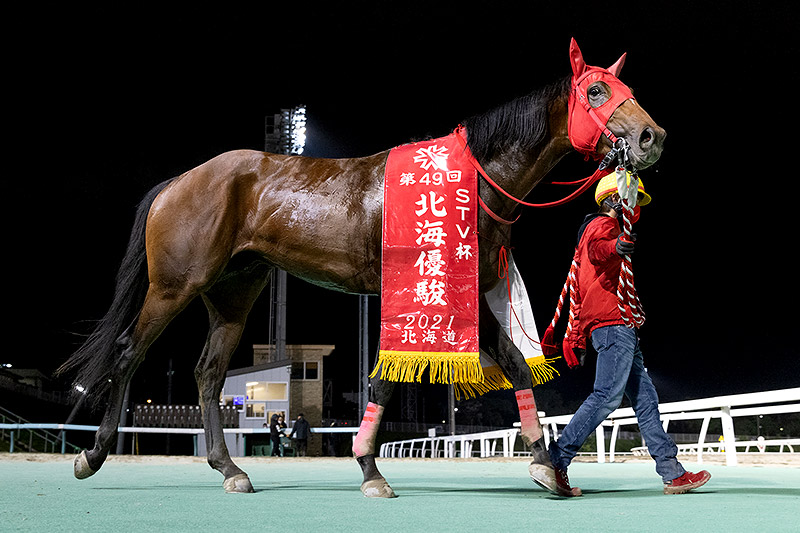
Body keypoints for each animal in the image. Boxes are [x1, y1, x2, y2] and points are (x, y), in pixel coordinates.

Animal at [59, 39, 664, 496]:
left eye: (630, 92)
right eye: (596, 91)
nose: (651, 136)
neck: (465, 181)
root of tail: (181, 180)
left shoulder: (464, 295)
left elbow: (515, 365)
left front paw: (544, 463)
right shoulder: (415, 293)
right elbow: (384, 381)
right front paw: (371, 470)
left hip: (234, 292)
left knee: (208, 373)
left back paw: (230, 469)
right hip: (175, 284)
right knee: (130, 354)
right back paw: (93, 454)